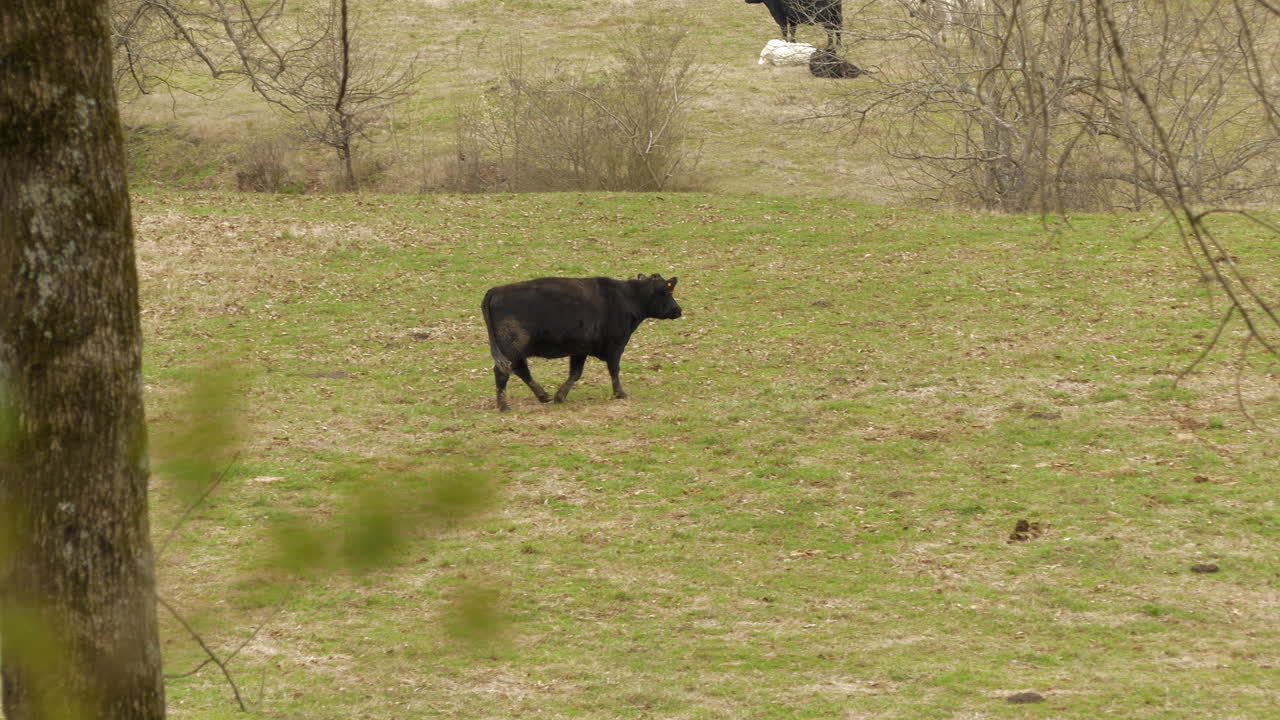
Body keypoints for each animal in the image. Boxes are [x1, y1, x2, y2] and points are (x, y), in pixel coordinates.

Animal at [481, 273, 682, 411]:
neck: (627, 297)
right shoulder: (615, 346)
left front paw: (560, 396)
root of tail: (495, 291)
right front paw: (620, 393)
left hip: (517, 351)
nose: (678, 310)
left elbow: (575, 373)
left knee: (521, 370)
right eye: (668, 292)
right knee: (503, 373)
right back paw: (504, 406)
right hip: (512, 348)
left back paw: (543, 395)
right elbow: (614, 370)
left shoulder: (580, 350)